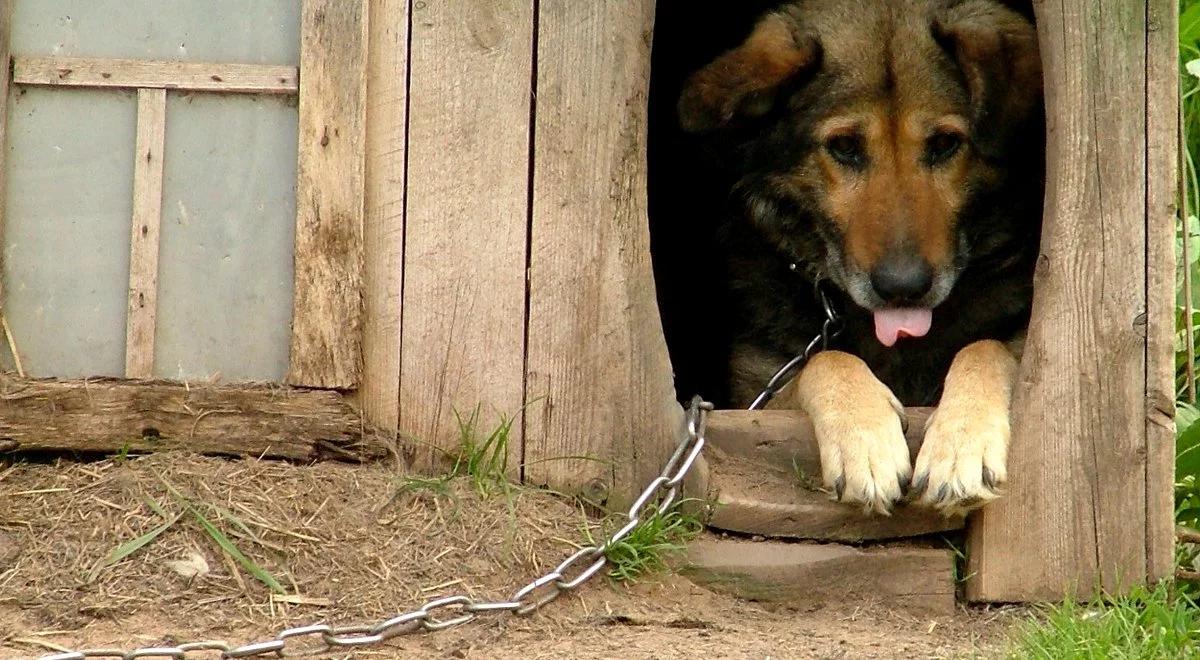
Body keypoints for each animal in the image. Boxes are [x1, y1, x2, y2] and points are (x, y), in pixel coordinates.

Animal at [672, 0, 1046, 518]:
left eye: (945, 144)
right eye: (845, 147)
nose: (903, 288)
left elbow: (985, 348)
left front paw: (961, 445)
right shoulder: (756, 394)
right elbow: (827, 360)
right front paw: (866, 441)